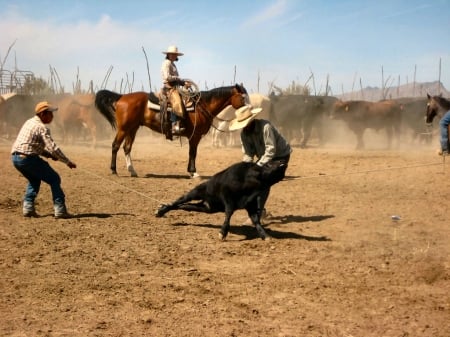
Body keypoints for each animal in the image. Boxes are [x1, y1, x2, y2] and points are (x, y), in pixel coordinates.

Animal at [96, 83, 250, 176]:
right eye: (243, 97)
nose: (250, 110)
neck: (201, 106)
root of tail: (121, 97)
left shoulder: (193, 137)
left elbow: (191, 153)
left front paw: (190, 171)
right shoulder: (195, 136)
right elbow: (193, 153)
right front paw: (194, 172)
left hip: (132, 129)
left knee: (127, 148)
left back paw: (132, 171)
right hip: (123, 129)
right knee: (115, 146)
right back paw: (114, 170)